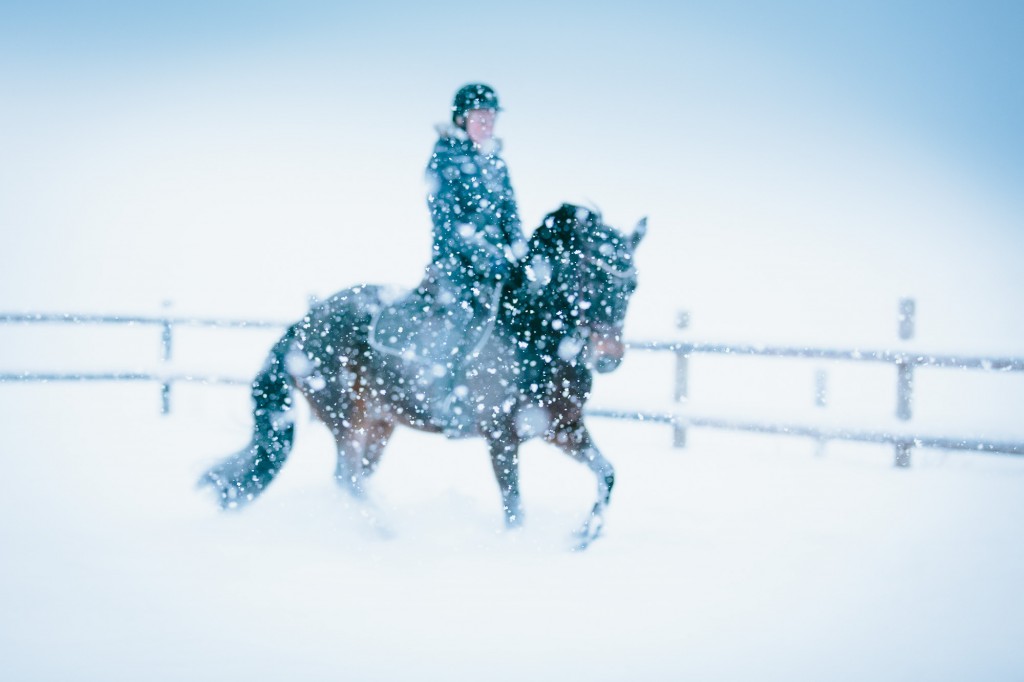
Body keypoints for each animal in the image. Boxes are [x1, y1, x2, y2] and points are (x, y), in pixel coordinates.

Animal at [201, 201, 647, 548]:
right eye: (592, 276)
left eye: (632, 287)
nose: (610, 358)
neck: (531, 334)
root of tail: (301, 325)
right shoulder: (501, 438)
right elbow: (514, 507)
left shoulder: (563, 428)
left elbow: (607, 474)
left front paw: (584, 536)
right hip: (346, 417)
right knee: (348, 479)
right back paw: (387, 532)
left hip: (379, 424)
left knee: (353, 480)